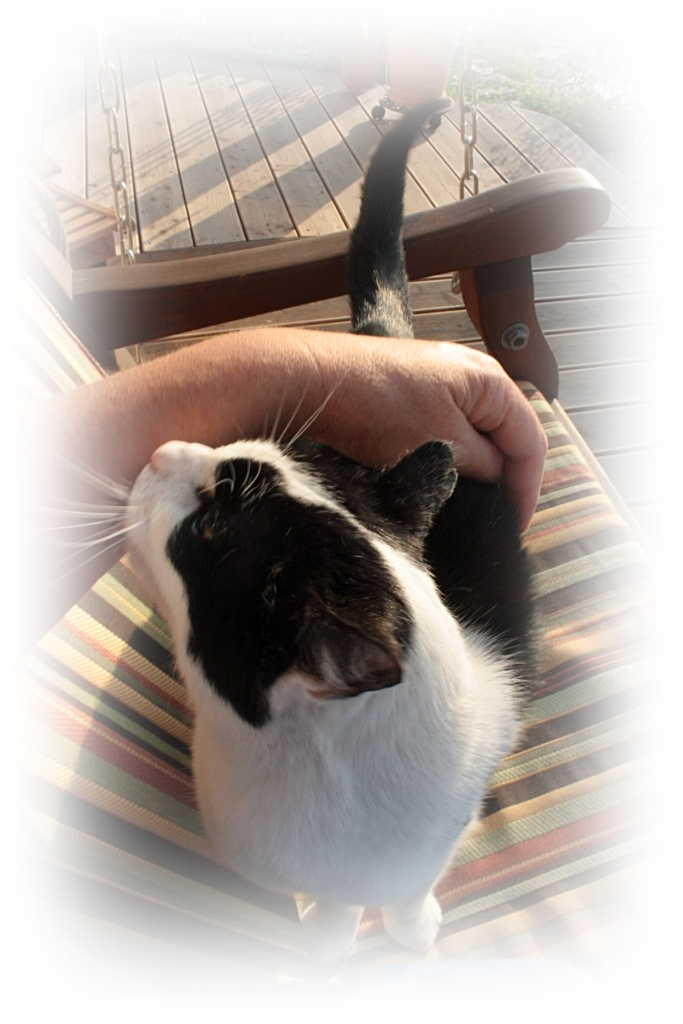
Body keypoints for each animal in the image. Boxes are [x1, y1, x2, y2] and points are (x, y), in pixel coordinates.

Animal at [126, 101, 536, 962]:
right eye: (236, 443)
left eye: (211, 527)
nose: (159, 449)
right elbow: (339, 903)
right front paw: (328, 931)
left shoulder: (438, 830)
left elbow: (407, 885)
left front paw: (407, 927)